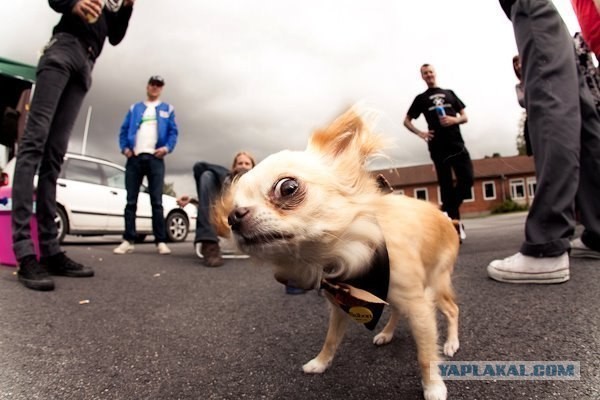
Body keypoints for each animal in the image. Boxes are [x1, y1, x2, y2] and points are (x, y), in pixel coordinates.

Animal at [221, 108, 460, 400]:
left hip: (436, 283)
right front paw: (320, 363)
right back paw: (386, 334)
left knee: (452, 309)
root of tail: (446, 217)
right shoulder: (341, 305)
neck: (348, 254)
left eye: (287, 187)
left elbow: (426, 354)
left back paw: (451, 343)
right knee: (397, 311)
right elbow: (331, 339)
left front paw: (434, 386)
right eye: (232, 207)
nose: (233, 218)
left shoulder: (419, 306)